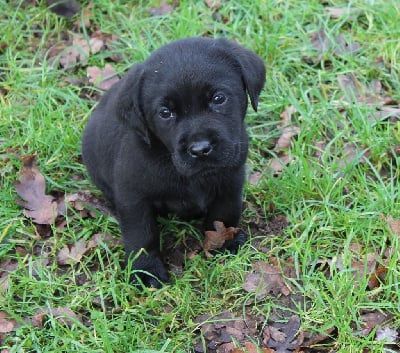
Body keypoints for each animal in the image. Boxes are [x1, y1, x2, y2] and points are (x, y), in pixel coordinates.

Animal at [81, 37, 266, 288]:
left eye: (219, 98)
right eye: (165, 112)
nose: (200, 149)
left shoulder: (231, 180)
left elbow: (224, 212)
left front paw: (225, 242)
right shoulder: (133, 197)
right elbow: (141, 234)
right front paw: (145, 270)